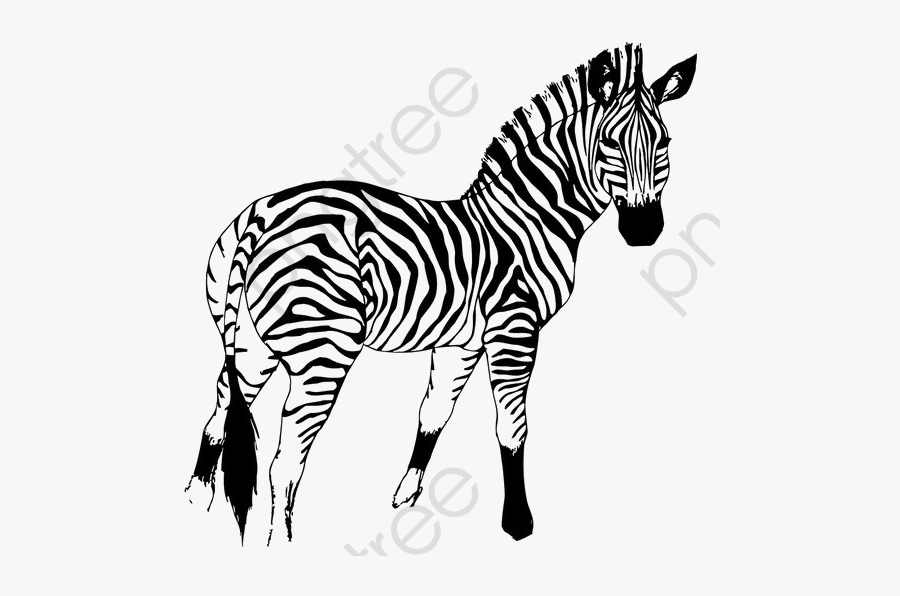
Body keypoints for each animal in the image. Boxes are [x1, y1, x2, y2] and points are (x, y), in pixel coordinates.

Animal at [185, 43, 697, 544]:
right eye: (610, 143)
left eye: (665, 143)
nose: (644, 231)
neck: (532, 216)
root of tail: (260, 217)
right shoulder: (514, 328)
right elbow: (512, 428)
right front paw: (518, 522)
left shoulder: (461, 341)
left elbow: (433, 413)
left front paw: (406, 493)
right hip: (323, 351)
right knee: (286, 462)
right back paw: (281, 543)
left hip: (250, 343)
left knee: (219, 414)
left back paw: (195, 496)